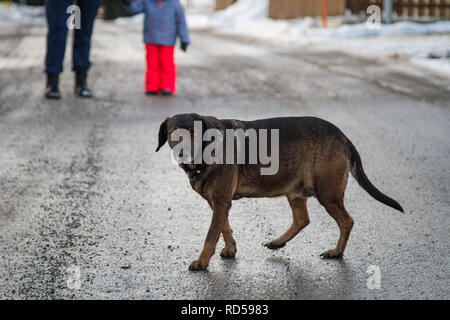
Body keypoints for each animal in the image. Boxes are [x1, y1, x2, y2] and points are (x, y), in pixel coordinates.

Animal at [156, 114, 404, 272]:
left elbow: (210, 235)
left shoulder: (220, 202)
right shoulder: (218, 202)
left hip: (328, 193)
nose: (183, 154)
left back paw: (336, 252)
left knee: (346, 221)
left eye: (195, 133)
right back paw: (278, 242)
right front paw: (230, 247)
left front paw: (201, 261)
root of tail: (343, 136)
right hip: (296, 192)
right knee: (302, 219)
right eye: (173, 134)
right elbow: (224, 226)